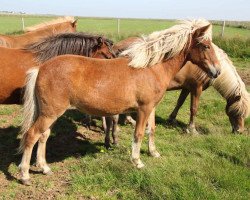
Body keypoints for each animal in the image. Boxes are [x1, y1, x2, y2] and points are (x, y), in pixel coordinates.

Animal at [19, 19, 221, 185]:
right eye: (205, 46)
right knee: (31, 135)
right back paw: (25, 175)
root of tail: (40, 68)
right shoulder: (143, 109)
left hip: (50, 114)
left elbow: (152, 129)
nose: (217, 71)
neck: (150, 68)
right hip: (50, 113)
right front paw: (137, 161)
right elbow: (138, 133)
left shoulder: (152, 108)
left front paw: (153, 152)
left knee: (43, 136)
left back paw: (44, 168)